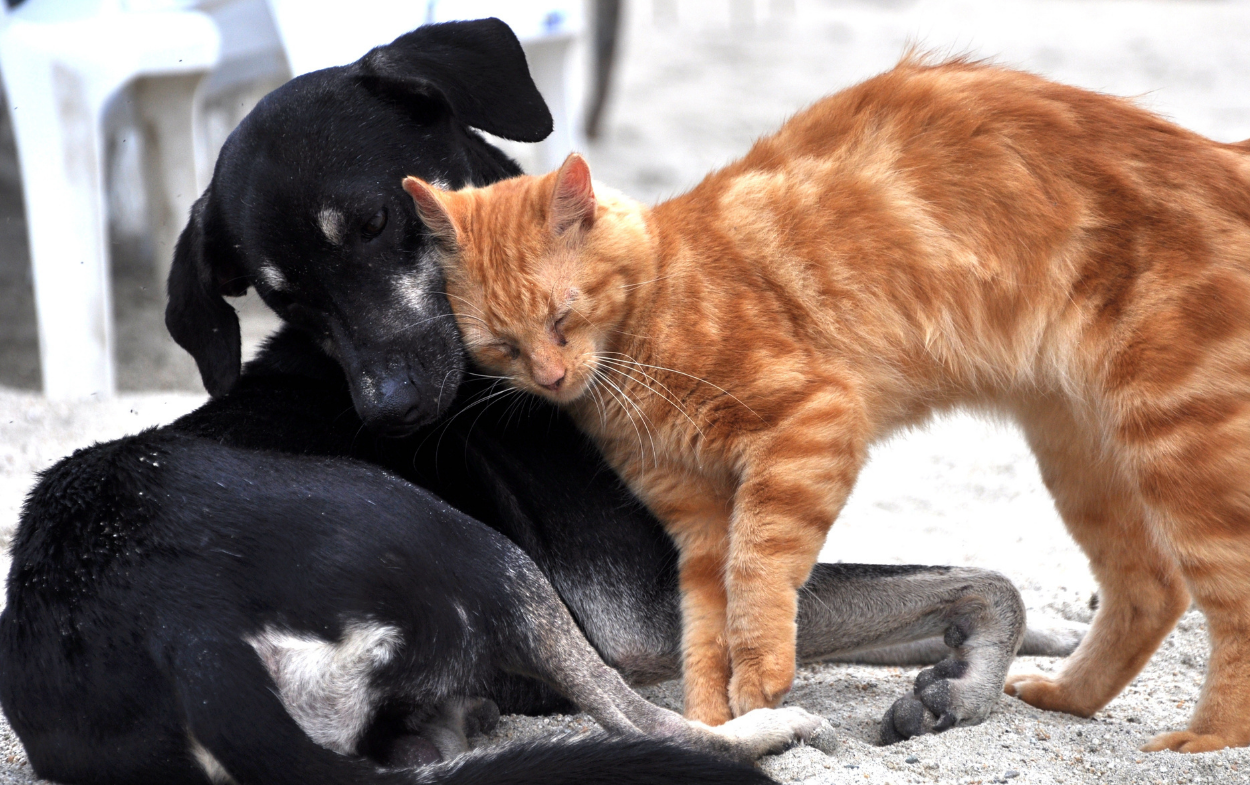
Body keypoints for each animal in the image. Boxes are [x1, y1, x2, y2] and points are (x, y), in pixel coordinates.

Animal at [0, 18, 1075, 785]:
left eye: (379, 221)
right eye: (283, 297)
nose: (391, 412)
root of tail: (172, 633)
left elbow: (958, 582)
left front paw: (1025, 650)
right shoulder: (647, 601)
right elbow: (981, 580)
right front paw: (968, 681)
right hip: (475, 546)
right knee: (653, 722)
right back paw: (772, 729)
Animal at [400, 58, 1250, 750]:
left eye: (563, 316)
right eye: (502, 344)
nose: (549, 377)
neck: (652, 325)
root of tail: (1220, 153)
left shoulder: (810, 426)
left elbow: (759, 575)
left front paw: (760, 681)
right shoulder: (694, 524)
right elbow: (707, 628)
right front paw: (724, 711)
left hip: (1179, 440)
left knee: (1226, 601)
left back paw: (1206, 738)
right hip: (1080, 450)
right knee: (1152, 586)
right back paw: (1068, 695)